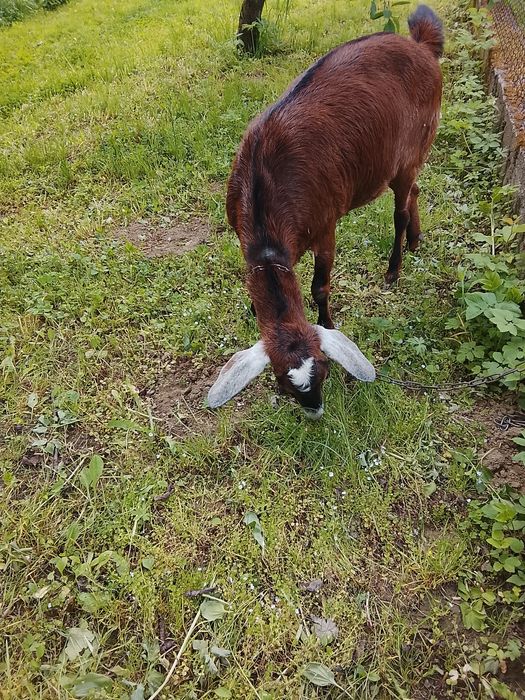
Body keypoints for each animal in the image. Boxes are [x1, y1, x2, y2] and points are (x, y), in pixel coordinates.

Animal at [208, 5, 444, 418]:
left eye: (324, 369)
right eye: (284, 383)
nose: (315, 410)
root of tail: (421, 46)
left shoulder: (325, 226)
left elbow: (320, 286)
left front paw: (328, 320)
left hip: (412, 147)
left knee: (399, 209)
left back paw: (394, 269)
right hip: (408, 160)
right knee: (415, 190)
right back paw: (416, 241)